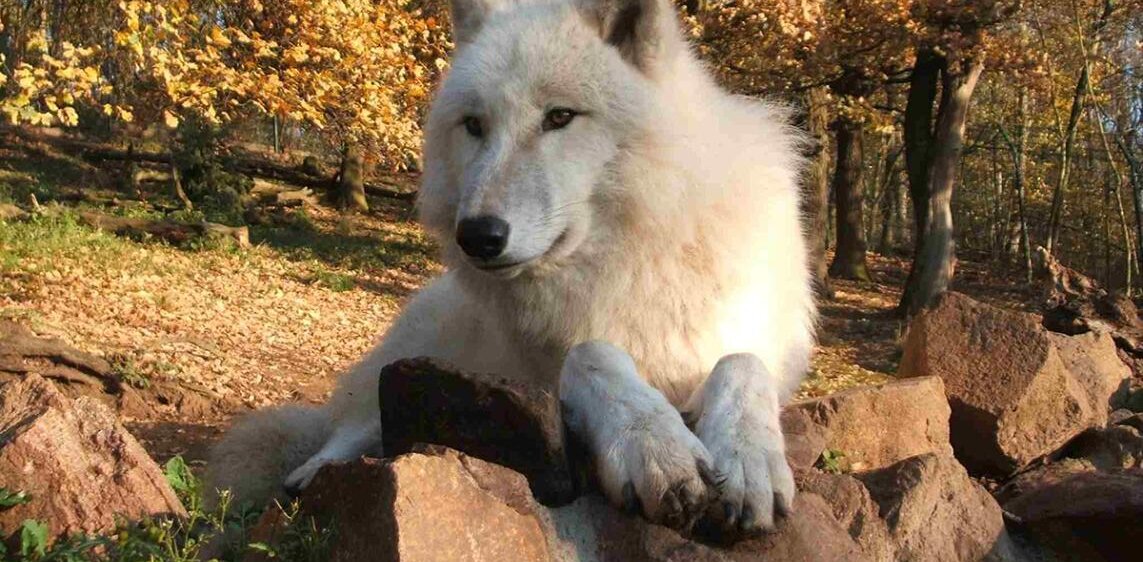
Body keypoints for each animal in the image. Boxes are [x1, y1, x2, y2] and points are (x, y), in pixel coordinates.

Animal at [207, 0, 815, 535]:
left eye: (560, 117)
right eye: (475, 125)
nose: (477, 236)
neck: (628, 259)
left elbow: (742, 362)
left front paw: (748, 459)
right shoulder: (543, 373)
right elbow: (592, 354)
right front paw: (654, 445)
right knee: (351, 429)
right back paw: (311, 475)